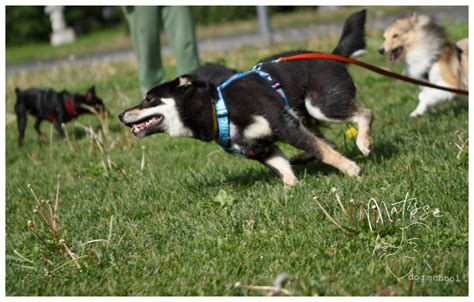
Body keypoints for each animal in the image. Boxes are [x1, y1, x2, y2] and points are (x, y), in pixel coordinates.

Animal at [118, 10, 370, 186]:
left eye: (149, 99)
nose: (121, 115)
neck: (217, 108)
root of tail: (334, 56)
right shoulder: (258, 149)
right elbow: (283, 167)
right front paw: (289, 189)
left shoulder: (283, 125)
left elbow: (322, 151)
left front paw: (350, 169)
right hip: (307, 114)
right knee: (327, 140)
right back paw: (303, 157)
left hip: (321, 104)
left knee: (364, 114)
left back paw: (364, 143)